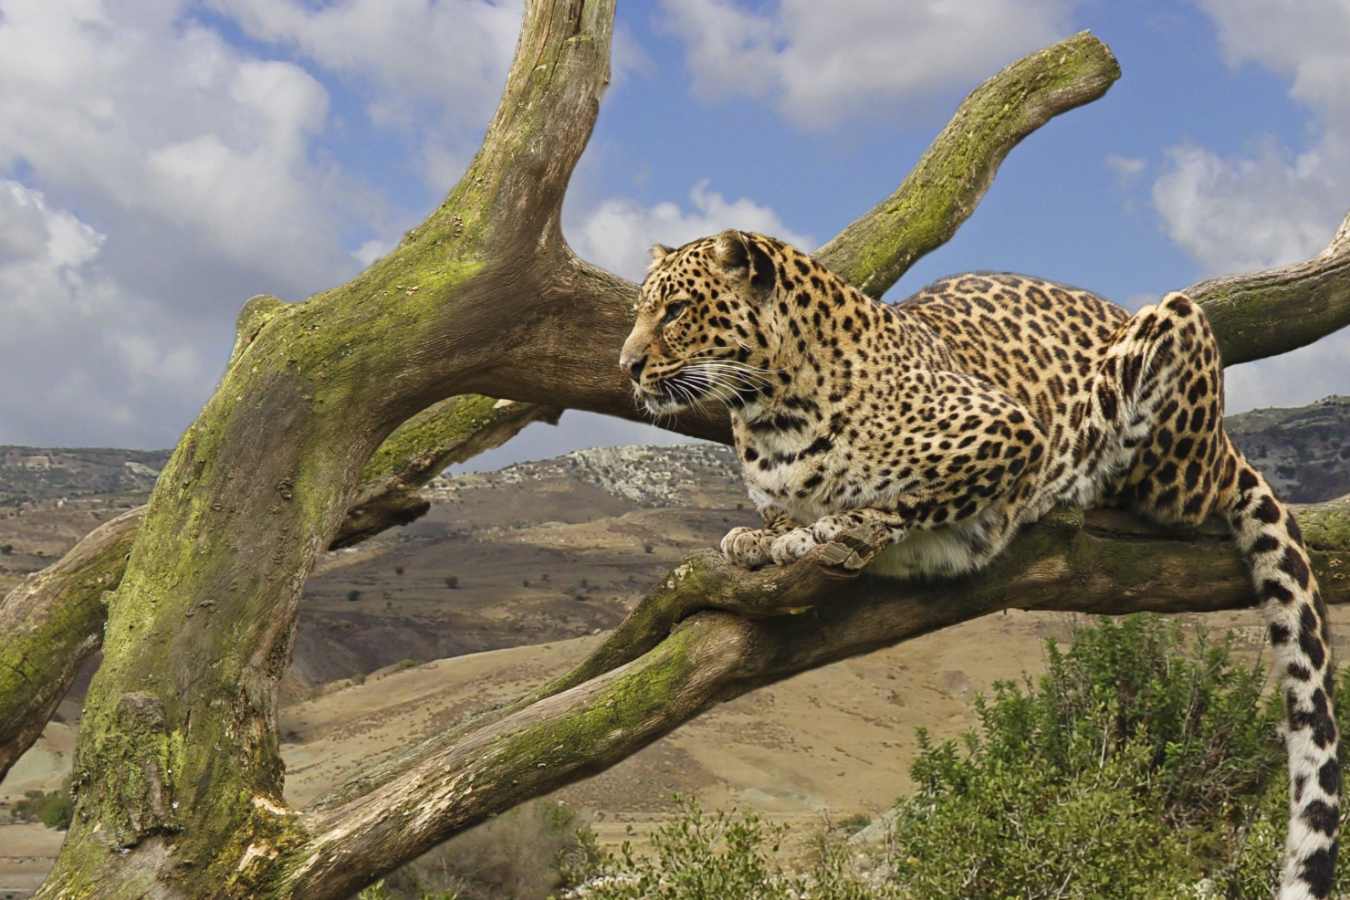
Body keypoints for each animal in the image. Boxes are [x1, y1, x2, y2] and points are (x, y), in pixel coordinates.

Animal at [619, 229, 1338, 899]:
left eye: (676, 310)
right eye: (641, 311)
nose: (626, 365)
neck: (770, 414)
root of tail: (1227, 440)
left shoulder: (1010, 431)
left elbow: (905, 500)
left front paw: (839, 526)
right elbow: (777, 518)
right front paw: (757, 536)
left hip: (1176, 356)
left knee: (1184, 486)